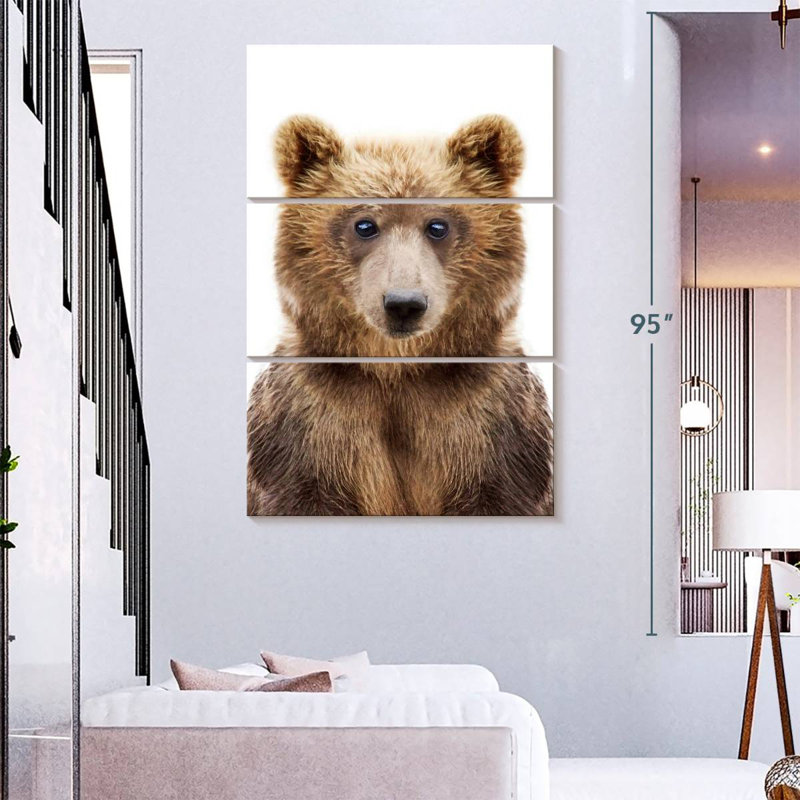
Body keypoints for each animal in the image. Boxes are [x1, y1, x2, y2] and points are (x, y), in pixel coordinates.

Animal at [247, 116, 553, 516]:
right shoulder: (309, 423)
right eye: (364, 224)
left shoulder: (491, 424)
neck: (397, 369)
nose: (403, 303)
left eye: (438, 225)